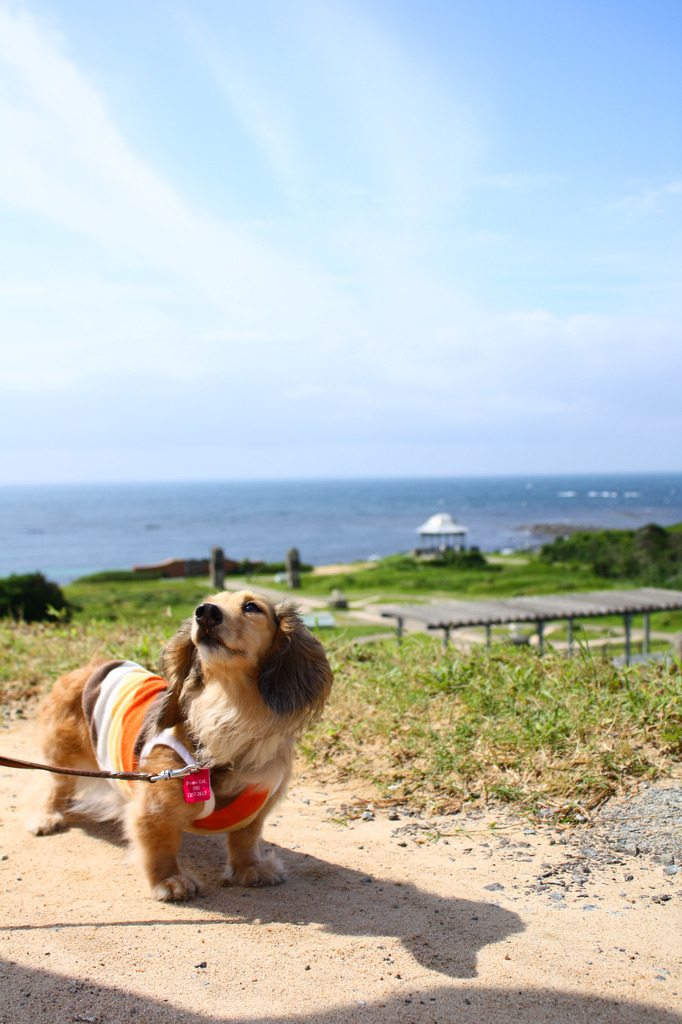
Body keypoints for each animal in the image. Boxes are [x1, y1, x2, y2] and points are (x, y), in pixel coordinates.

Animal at [26, 589, 331, 901]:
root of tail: (88, 669)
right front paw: (170, 880)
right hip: (63, 758)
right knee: (53, 787)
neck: (228, 710)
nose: (205, 612)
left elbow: (245, 839)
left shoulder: (257, 807)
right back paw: (46, 816)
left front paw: (251, 869)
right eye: (206, 603)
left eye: (251, 607)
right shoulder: (154, 809)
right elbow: (160, 847)